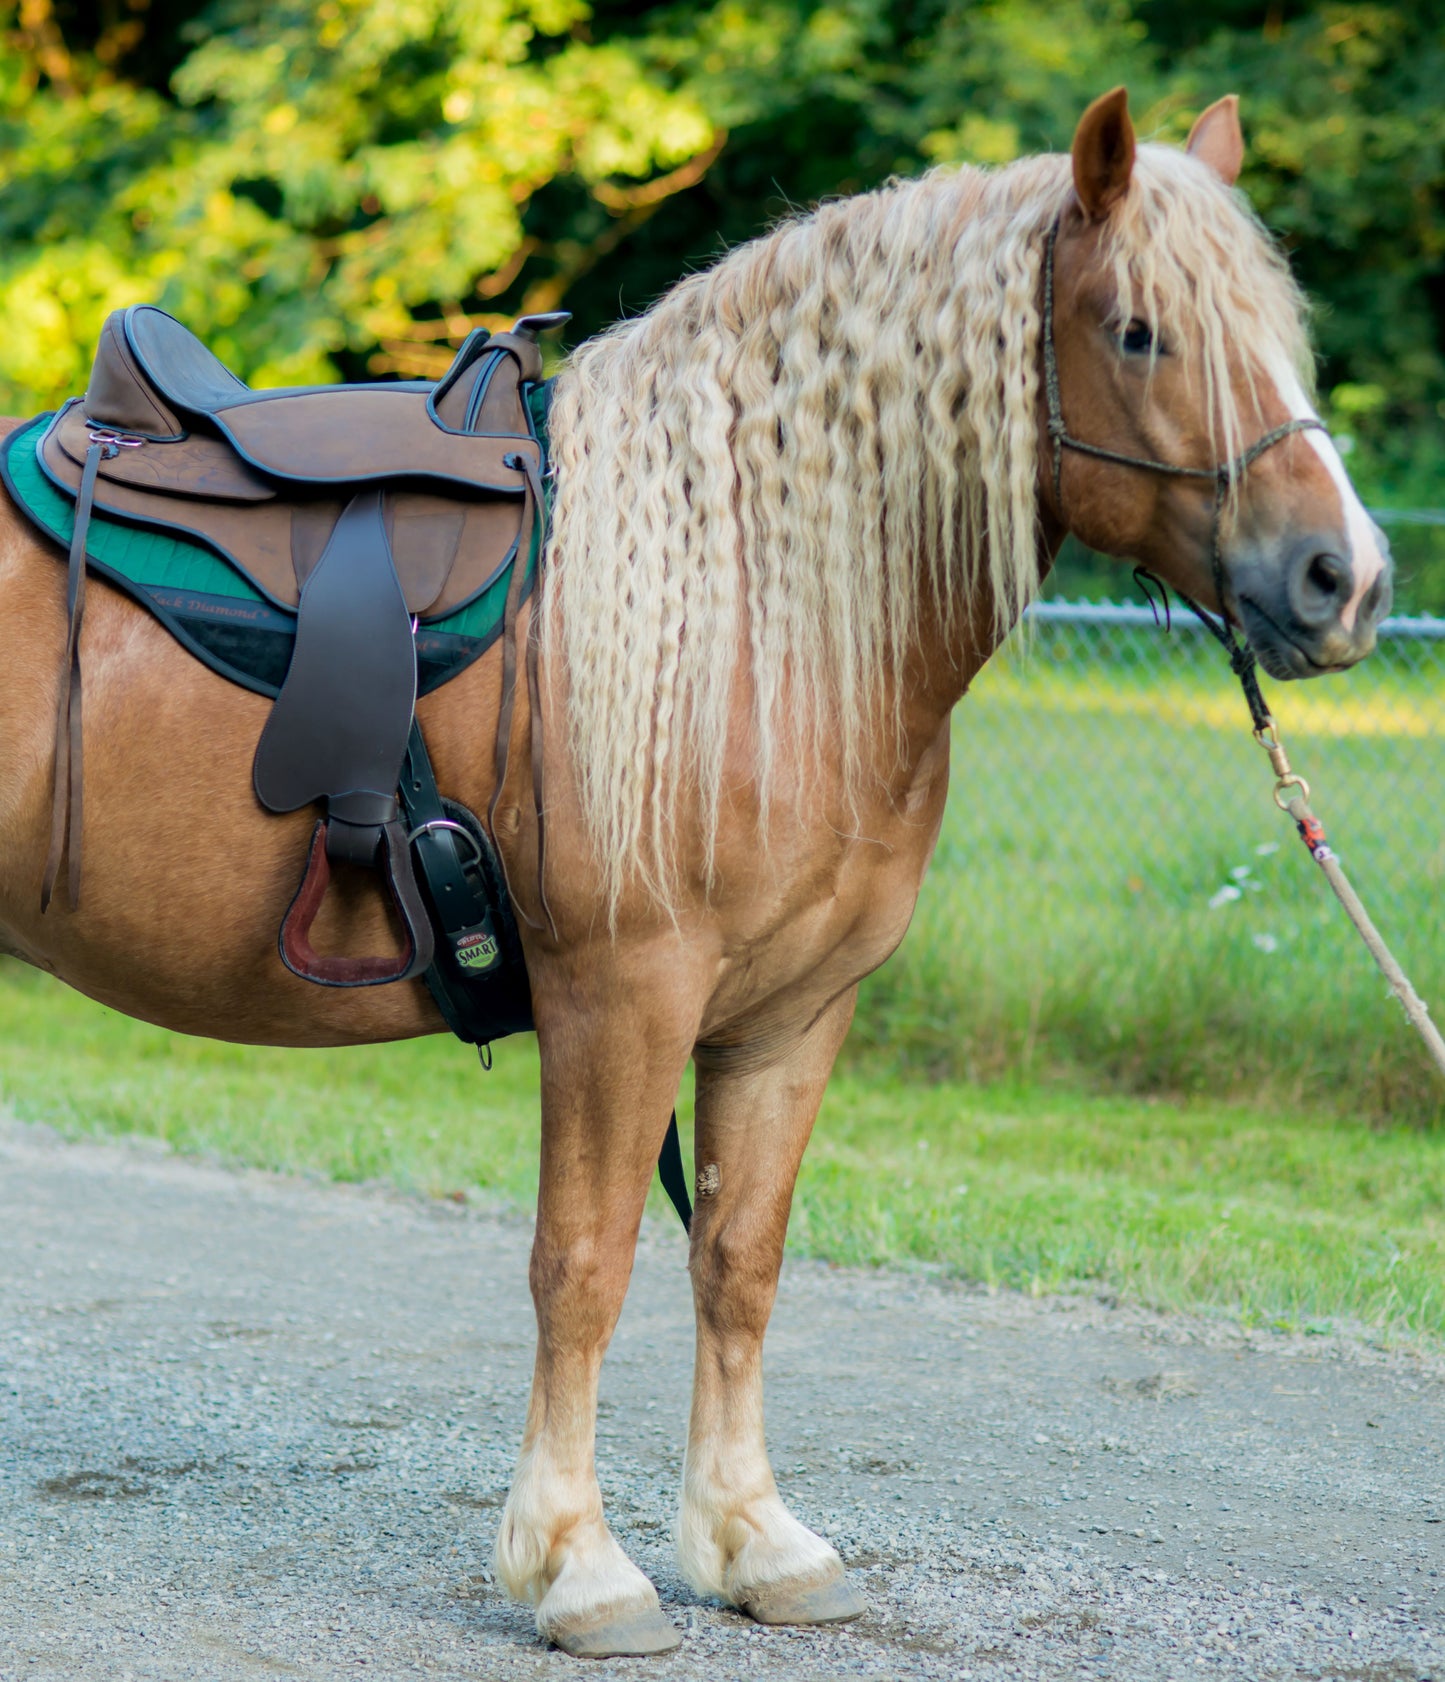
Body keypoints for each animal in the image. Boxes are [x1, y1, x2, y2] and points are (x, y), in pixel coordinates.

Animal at [0, 88, 1392, 1655]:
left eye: (1278, 327)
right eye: (1141, 330)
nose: (1345, 579)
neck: (757, 607)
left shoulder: (790, 1013)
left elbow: (739, 1257)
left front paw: (750, 1538)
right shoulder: (623, 996)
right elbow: (581, 1263)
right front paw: (575, 1562)